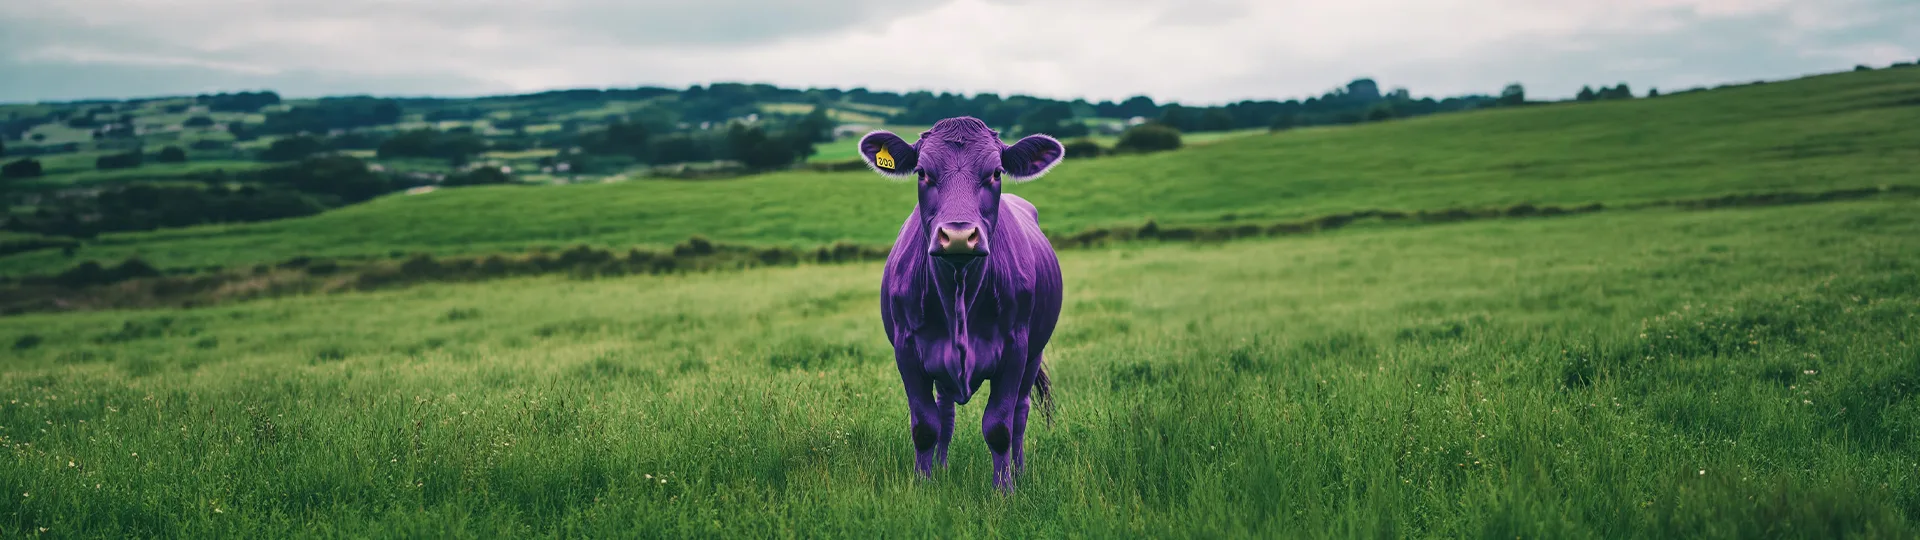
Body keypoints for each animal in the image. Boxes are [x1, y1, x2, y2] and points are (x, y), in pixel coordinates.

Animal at [857, 116, 1066, 490]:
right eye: (922, 172)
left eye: (996, 172)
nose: (957, 236)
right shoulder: (907, 351)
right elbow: (926, 425)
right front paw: (923, 485)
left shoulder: (1015, 349)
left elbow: (999, 427)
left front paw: (1005, 490)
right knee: (946, 411)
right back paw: (940, 469)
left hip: (1034, 353)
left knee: (1021, 412)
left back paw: (1020, 471)